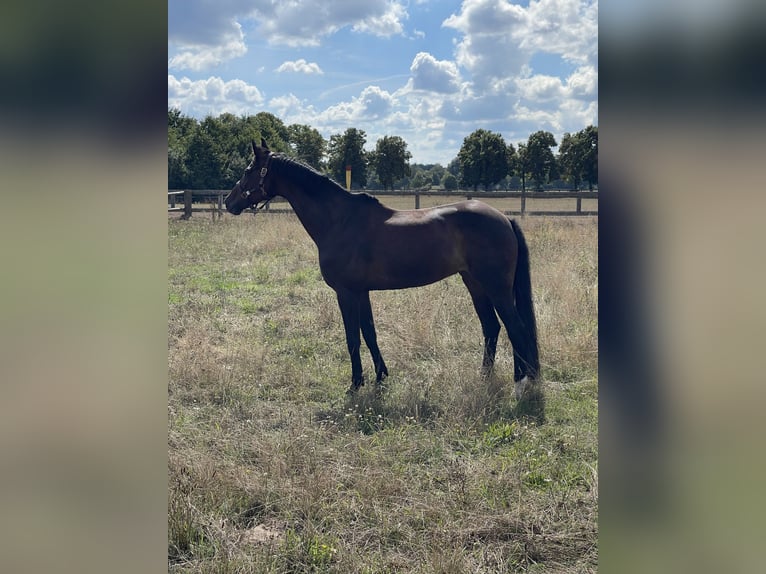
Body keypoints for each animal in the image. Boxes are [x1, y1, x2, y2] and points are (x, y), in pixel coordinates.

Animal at [226, 141, 540, 400]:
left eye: (248, 170)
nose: (230, 202)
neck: (340, 220)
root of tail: (504, 219)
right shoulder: (361, 291)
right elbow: (370, 333)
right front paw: (380, 376)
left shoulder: (346, 293)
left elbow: (353, 338)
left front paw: (356, 383)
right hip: (475, 284)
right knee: (492, 327)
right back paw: (486, 377)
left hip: (496, 287)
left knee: (516, 328)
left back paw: (521, 383)